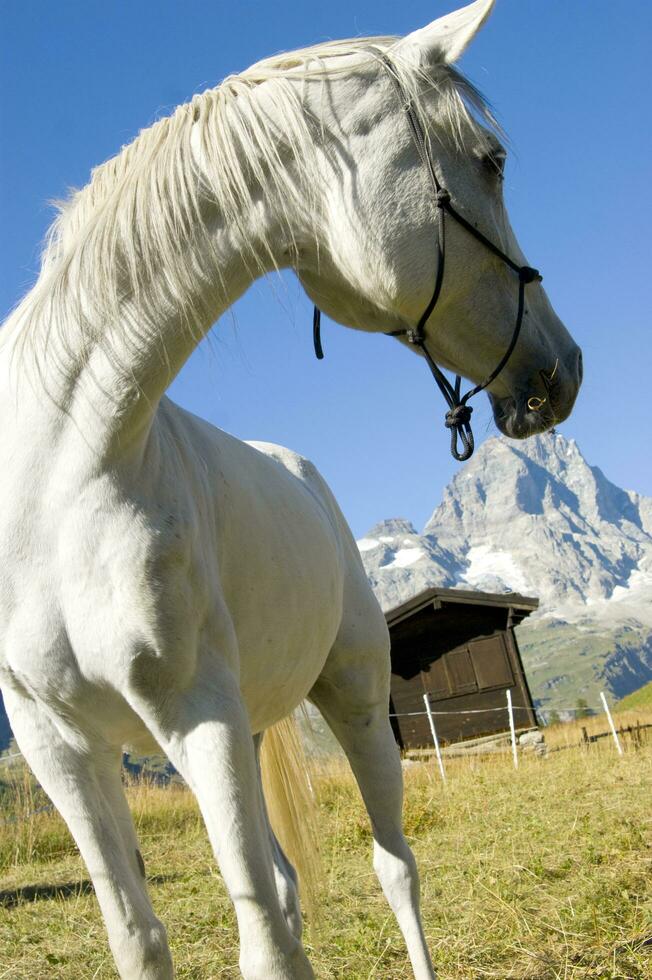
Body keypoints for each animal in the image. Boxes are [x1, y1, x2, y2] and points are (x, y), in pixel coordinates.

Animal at [0, 1, 580, 980]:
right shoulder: (61, 748)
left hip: (354, 702)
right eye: (492, 161)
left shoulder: (197, 718)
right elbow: (143, 938)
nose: (564, 369)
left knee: (393, 868)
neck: (56, 482)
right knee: (289, 887)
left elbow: (266, 937)